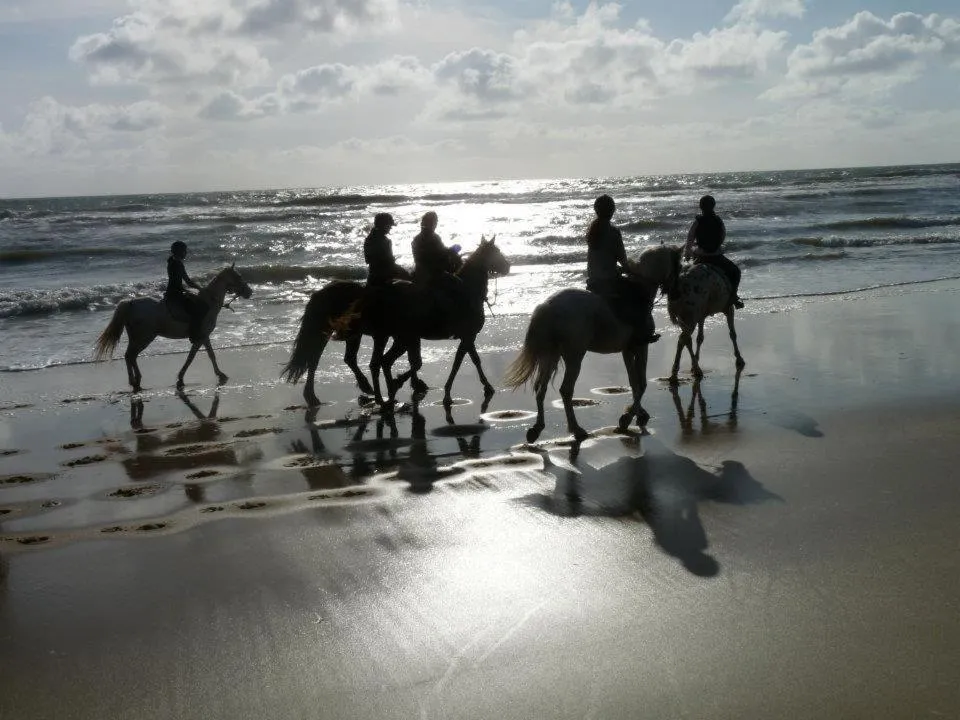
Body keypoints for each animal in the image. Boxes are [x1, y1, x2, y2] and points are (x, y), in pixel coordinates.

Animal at [94, 264, 252, 392]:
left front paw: (220, 374)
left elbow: (210, 354)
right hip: (144, 337)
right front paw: (180, 377)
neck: (209, 303)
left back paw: (135, 379)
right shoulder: (200, 337)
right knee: (130, 355)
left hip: (137, 337)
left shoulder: (204, 336)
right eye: (238, 277)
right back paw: (134, 380)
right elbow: (191, 357)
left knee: (129, 356)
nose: (249, 292)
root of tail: (131, 303)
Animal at [282, 236, 510, 407]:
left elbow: (465, 360)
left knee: (354, 360)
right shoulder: (467, 336)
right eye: (497, 251)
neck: (468, 290)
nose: (507, 266)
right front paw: (472, 388)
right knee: (329, 360)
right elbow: (465, 362)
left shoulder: (462, 337)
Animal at [503, 273, 667, 444]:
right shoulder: (641, 347)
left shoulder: (627, 351)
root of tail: (548, 306)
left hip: (550, 355)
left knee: (540, 387)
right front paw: (627, 419)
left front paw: (637, 413)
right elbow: (641, 384)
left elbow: (634, 383)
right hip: (574, 356)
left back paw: (537, 429)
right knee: (566, 390)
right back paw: (577, 430)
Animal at [632, 245, 745, 384]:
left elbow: (700, 338)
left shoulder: (700, 316)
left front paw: (696, 358)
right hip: (691, 318)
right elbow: (732, 334)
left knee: (685, 339)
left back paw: (690, 369)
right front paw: (739, 359)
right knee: (683, 339)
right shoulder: (729, 309)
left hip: (686, 319)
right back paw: (683, 372)